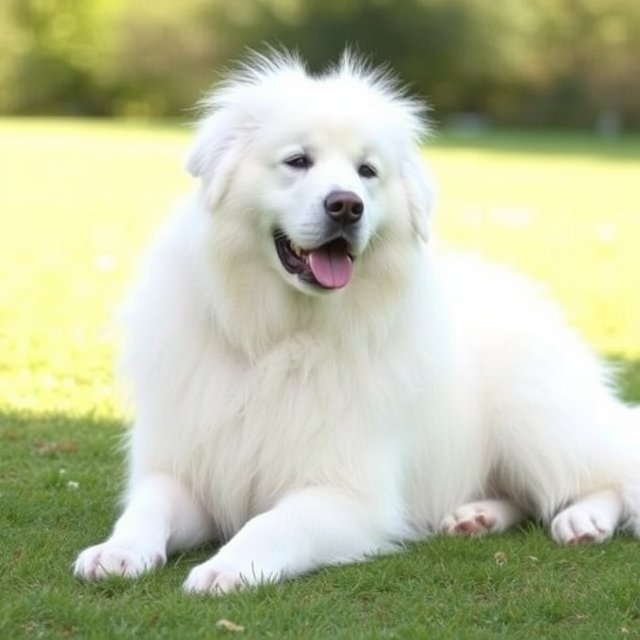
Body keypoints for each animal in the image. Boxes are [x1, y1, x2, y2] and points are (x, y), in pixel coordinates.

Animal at [75, 52, 640, 592]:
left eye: (367, 171)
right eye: (297, 161)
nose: (346, 205)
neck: (281, 339)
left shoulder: (348, 495)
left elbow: (271, 524)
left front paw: (229, 568)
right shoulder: (184, 473)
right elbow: (146, 508)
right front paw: (116, 552)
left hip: (540, 428)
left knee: (612, 471)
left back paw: (584, 520)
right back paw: (476, 516)